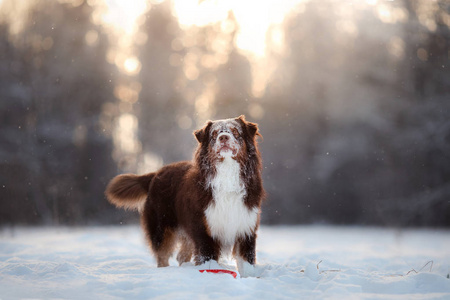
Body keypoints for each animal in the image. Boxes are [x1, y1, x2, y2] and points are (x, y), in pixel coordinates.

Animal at [106, 114, 264, 276]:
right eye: (214, 134)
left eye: (235, 131)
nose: (223, 137)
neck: (226, 173)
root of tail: (155, 174)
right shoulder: (204, 230)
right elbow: (208, 259)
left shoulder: (246, 227)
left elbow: (246, 261)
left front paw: (249, 277)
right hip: (162, 227)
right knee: (162, 255)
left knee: (181, 255)